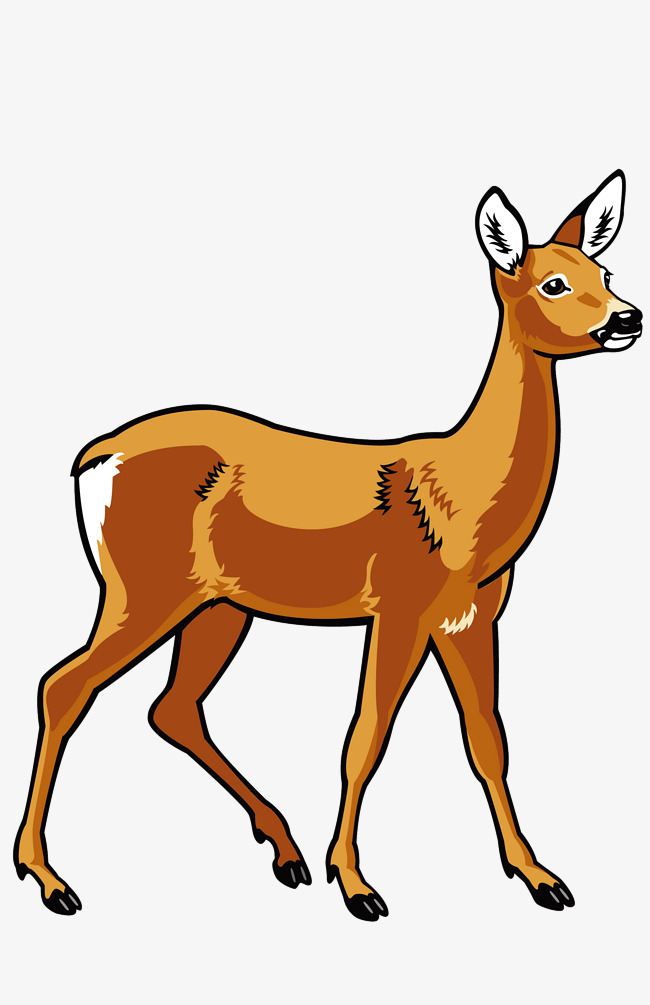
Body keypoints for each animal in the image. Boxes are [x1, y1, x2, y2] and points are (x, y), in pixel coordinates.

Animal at [15, 171, 642, 921]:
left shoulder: (473, 617)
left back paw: (285, 851)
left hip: (218, 603)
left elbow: (488, 740)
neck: (462, 501)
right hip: (143, 585)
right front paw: (358, 885)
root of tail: (92, 460)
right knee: (63, 685)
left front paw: (541, 876)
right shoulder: (400, 606)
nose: (628, 318)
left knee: (172, 706)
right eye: (552, 282)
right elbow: (365, 738)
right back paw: (48, 878)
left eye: (605, 271)